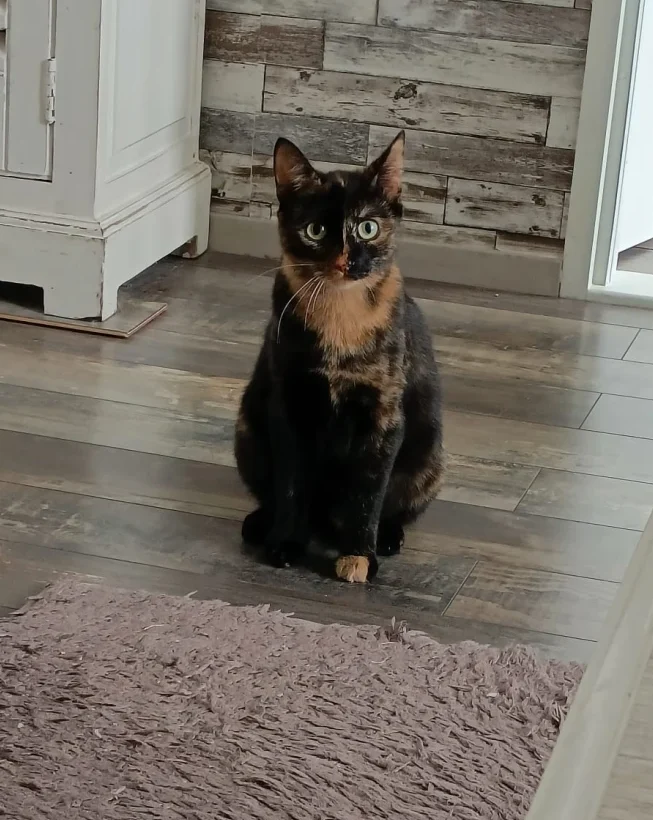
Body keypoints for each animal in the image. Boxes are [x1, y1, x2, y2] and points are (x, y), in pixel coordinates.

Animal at [234, 131, 444, 583]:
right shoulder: (289, 406)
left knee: (393, 504)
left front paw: (359, 557)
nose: (346, 260)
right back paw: (261, 524)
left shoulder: (383, 416)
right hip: (247, 431)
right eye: (315, 230)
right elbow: (291, 482)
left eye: (367, 227)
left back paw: (386, 536)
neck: (340, 318)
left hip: (428, 455)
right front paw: (285, 543)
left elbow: (367, 491)